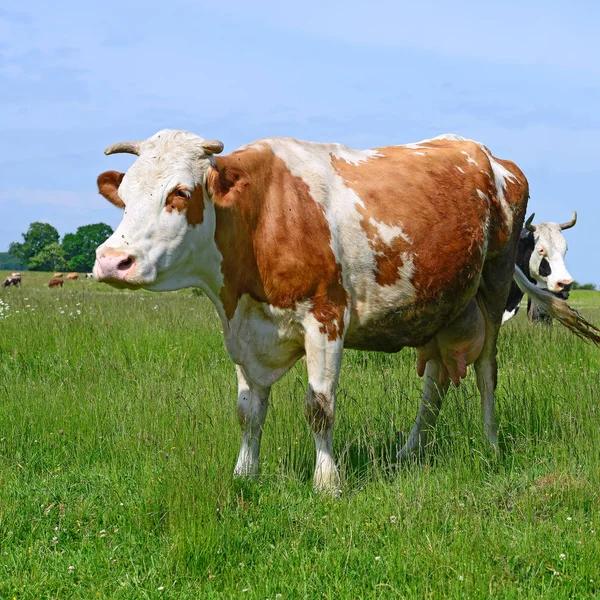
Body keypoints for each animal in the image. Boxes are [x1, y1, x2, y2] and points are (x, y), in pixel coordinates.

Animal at [91, 129, 596, 490]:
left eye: (179, 192)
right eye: (125, 196)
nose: (111, 260)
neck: (261, 217)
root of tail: (490, 155)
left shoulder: (325, 319)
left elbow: (319, 407)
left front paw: (328, 484)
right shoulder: (242, 329)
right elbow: (248, 411)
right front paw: (244, 474)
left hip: (493, 287)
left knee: (487, 372)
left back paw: (490, 445)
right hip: (441, 306)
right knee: (434, 386)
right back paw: (409, 452)